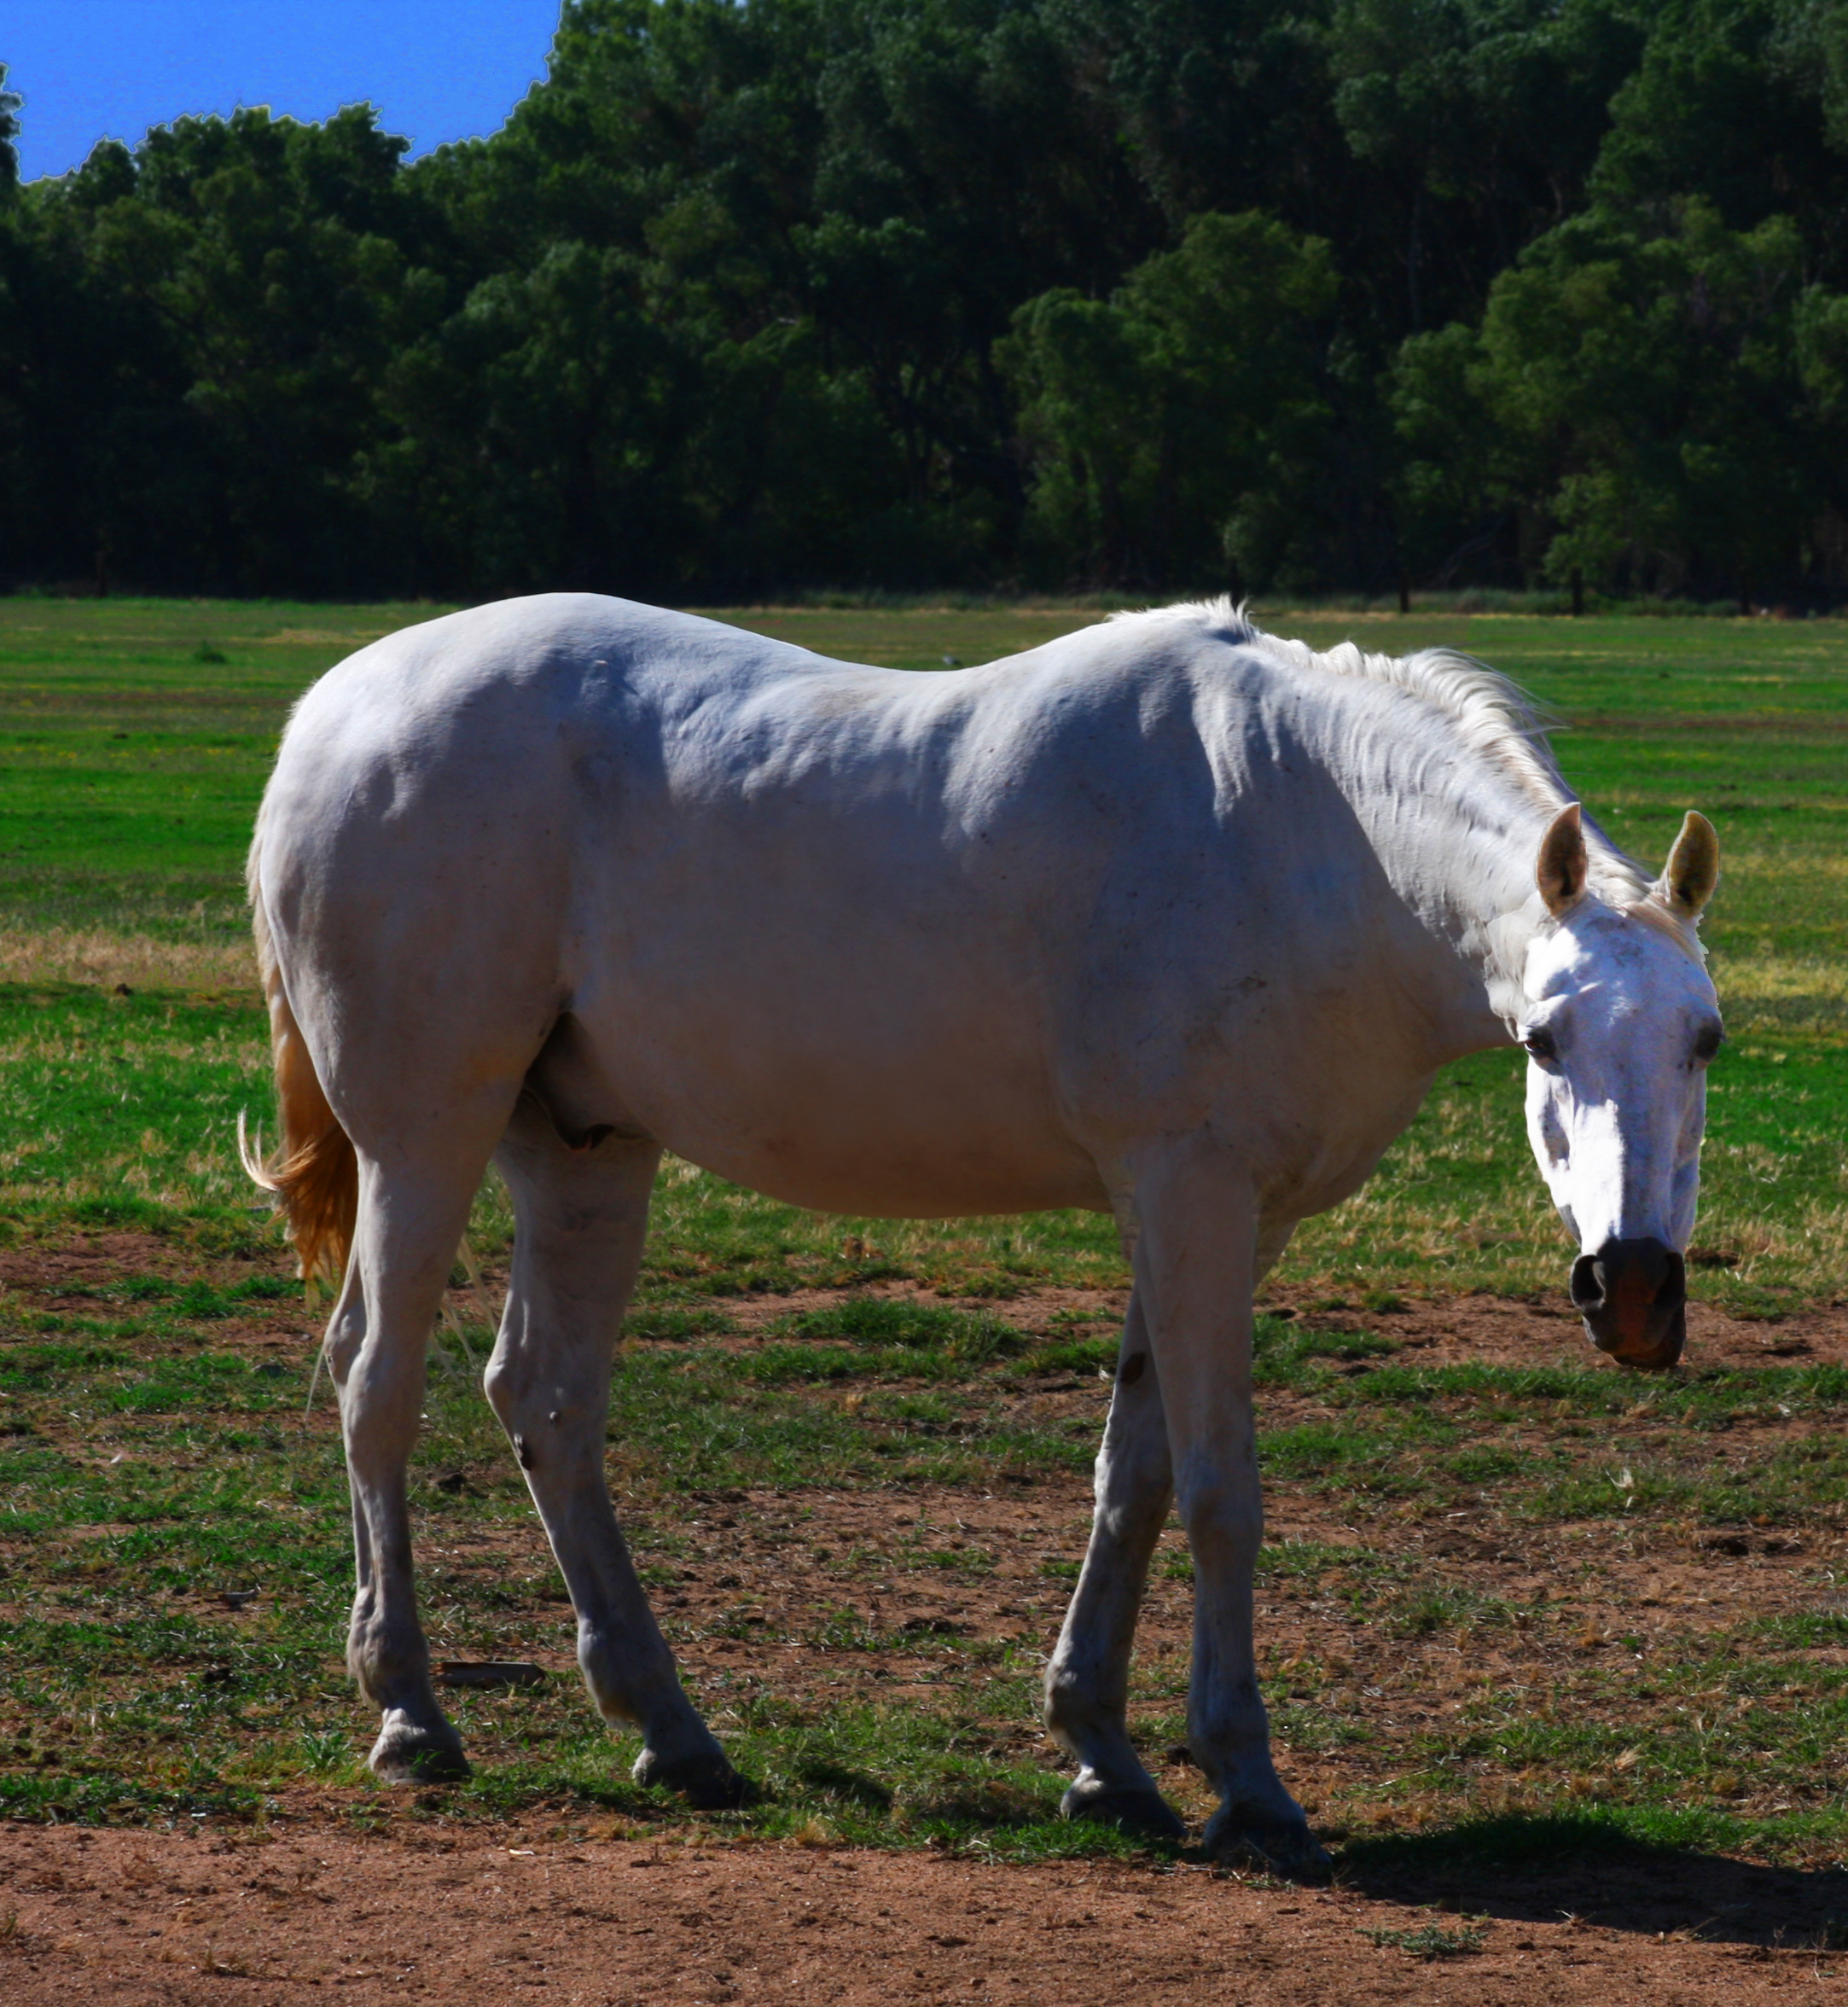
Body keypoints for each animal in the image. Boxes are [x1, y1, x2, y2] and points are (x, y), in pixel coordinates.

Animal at [241, 590, 1717, 1862]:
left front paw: (1102, 1757)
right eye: (1543, 1038)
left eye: (1704, 1039)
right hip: (426, 1139)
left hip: (582, 1154)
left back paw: (670, 1730)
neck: (1298, 836)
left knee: (545, 1399)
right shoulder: (1189, 1195)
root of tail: (333, 709)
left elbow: (1135, 1476)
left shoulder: (1214, 1217)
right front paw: (1243, 1778)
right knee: (377, 1384)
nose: (1635, 1289)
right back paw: (411, 1714)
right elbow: (1219, 1492)